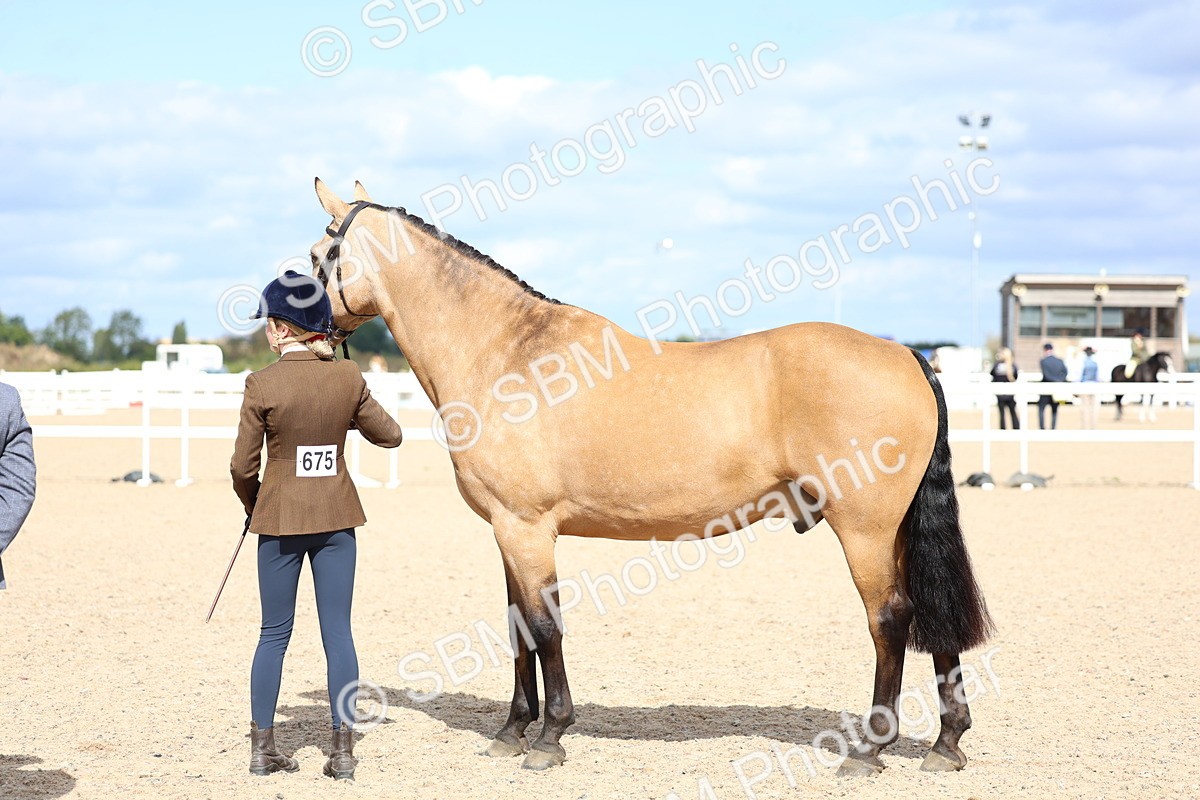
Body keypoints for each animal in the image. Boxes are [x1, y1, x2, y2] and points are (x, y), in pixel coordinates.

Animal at [308, 179, 994, 776]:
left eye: (318, 258)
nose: (292, 332)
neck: (509, 355)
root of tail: (906, 355)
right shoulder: (506, 530)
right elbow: (519, 625)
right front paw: (511, 731)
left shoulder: (527, 528)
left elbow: (546, 626)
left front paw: (550, 737)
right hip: (896, 530)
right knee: (931, 611)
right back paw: (946, 743)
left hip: (865, 529)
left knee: (891, 619)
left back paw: (871, 750)